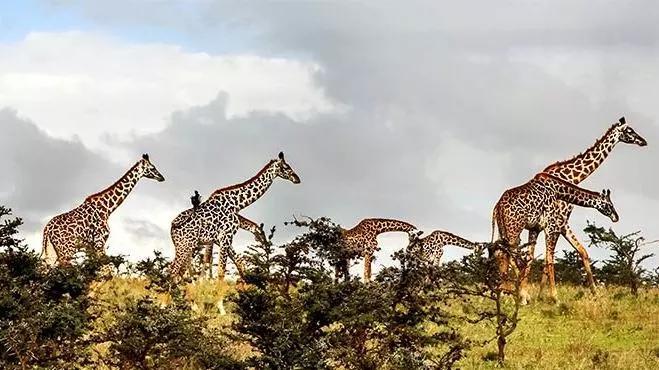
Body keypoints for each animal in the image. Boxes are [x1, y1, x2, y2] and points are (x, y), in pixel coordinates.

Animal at [169, 152, 300, 278]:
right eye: (286, 167)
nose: (297, 178)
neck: (236, 203)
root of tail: (172, 228)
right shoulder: (226, 236)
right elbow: (221, 271)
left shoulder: (223, 238)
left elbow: (239, 264)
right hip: (184, 247)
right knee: (174, 272)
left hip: (188, 248)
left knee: (180, 272)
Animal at [492, 172, 620, 304]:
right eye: (610, 204)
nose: (616, 217)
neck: (558, 190)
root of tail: (498, 206)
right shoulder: (551, 227)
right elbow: (549, 259)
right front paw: (555, 298)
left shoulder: (536, 228)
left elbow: (531, 258)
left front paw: (525, 296)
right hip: (514, 230)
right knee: (506, 255)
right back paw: (506, 295)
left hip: (504, 230)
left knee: (501, 254)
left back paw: (505, 293)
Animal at [532, 117, 648, 302]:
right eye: (629, 131)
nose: (643, 141)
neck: (573, 177)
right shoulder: (558, 221)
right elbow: (549, 257)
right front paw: (548, 296)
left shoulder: (562, 223)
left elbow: (583, 252)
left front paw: (595, 292)